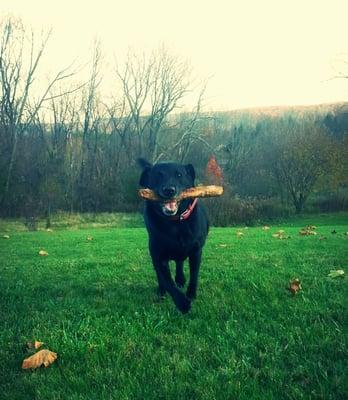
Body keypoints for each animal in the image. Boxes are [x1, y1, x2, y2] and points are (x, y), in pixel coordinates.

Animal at [139, 159, 209, 312]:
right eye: (158, 175)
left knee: (179, 262)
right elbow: (167, 281)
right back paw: (162, 290)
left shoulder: (196, 251)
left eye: (179, 175)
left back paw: (181, 279)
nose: (169, 190)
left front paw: (191, 294)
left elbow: (194, 274)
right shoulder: (158, 255)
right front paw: (182, 303)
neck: (175, 223)